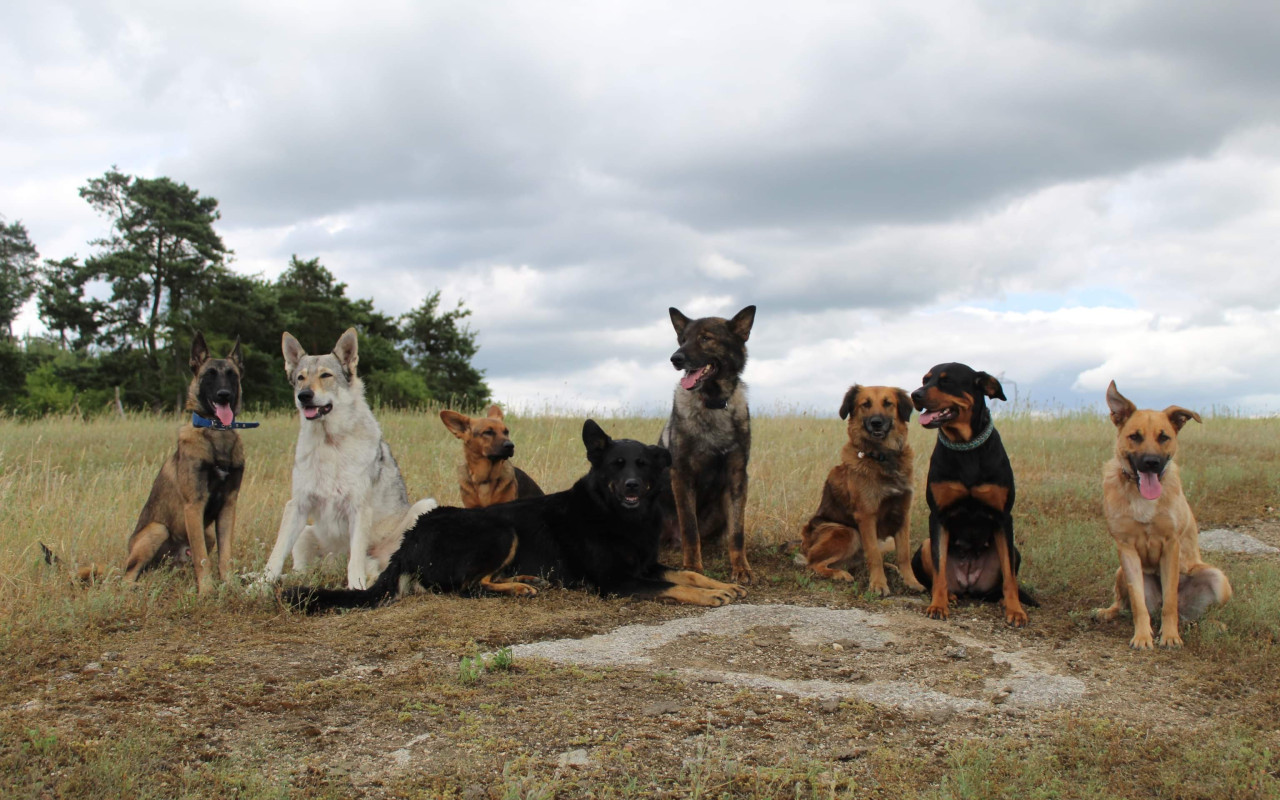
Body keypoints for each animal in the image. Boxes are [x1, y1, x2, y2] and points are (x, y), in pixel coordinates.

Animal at [285, 417, 747, 611]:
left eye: (644, 466)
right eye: (617, 466)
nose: (633, 486)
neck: (617, 516)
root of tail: (412, 534)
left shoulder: (647, 565)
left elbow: (686, 573)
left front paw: (723, 583)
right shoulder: (617, 581)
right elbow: (673, 586)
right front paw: (710, 595)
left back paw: (525, 580)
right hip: (500, 529)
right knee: (466, 587)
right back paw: (519, 587)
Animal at [665, 302, 752, 583]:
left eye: (705, 338)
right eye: (683, 339)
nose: (676, 358)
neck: (712, 403)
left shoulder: (737, 477)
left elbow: (737, 532)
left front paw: (740, 568)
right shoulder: (681, 475)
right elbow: (690, 528)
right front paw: (693, 567)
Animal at [793, 384, 926, 596]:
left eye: (888, 403)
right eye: (866, 404)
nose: (876, 423)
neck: (881, 457)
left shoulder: (903, 513)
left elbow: (904, 553)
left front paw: (911, 581)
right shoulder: (866, 515)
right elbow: (874, 555)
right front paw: (878, 584)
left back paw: (890, 568)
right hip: (848, 532)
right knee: (814, 564)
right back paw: (840, 574)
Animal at [906, 360, 1034, 624]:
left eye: (946, 381)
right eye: (925, 380)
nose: (915, 395)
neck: (965, 448)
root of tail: (968, 583)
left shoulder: (1003, 517)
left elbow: (1010, 577)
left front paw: (1015, 610)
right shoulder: (938, 516)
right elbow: (939, 568)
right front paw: (938, 605)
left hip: (1014, 550)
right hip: (925, 544)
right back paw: (949, 596)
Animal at [1090, 381, 1228, 650]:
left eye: (1164, 437)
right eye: (1135, 436)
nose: (1151, 462)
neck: (1141, 496)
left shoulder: (1170, 545)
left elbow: (1170, 602)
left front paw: (1170, 636)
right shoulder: (1126, 549)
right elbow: (1137, 603)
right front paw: (1142, 636)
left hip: (1218, 579)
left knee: (1195, 612)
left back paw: (1213, 624)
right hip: (1120, 571)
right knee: (1123, 603)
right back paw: (1107, 612)